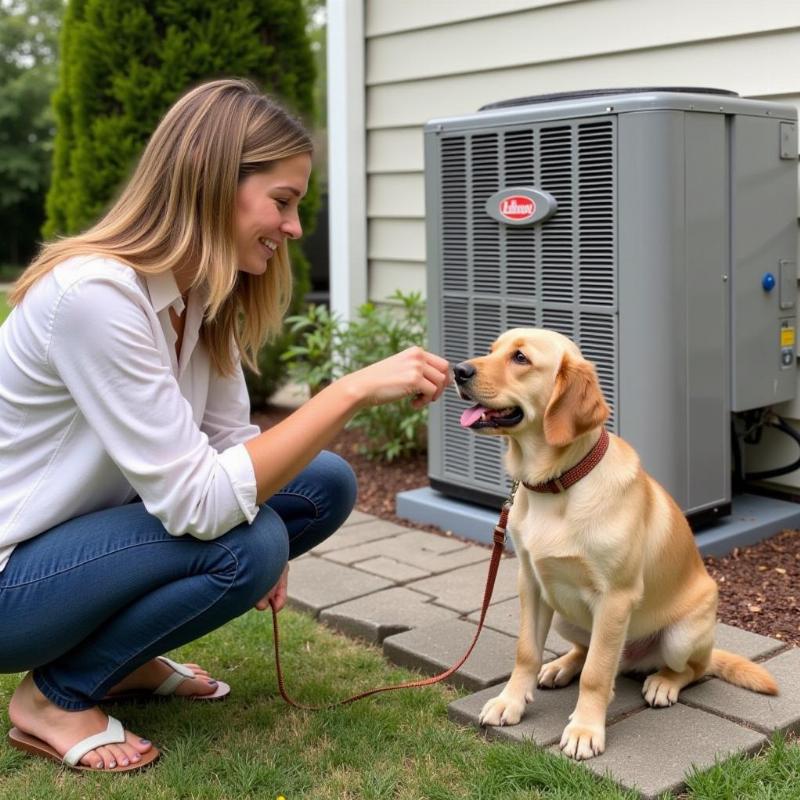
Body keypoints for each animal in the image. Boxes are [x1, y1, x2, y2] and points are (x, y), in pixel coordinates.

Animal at [454, 328, 780, 760]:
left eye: (520, 358)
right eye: (492, 349)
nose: (458, 370)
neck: (558, 483)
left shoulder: (615, 598)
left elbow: (596, 674)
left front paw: (584, 730)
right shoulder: (531, 583)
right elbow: (526, 651)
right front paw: (510, 701)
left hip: (680, 637)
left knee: (693, 669)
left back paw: (664, 682)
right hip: (563, 612)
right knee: (587, 651)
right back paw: (560, 666)